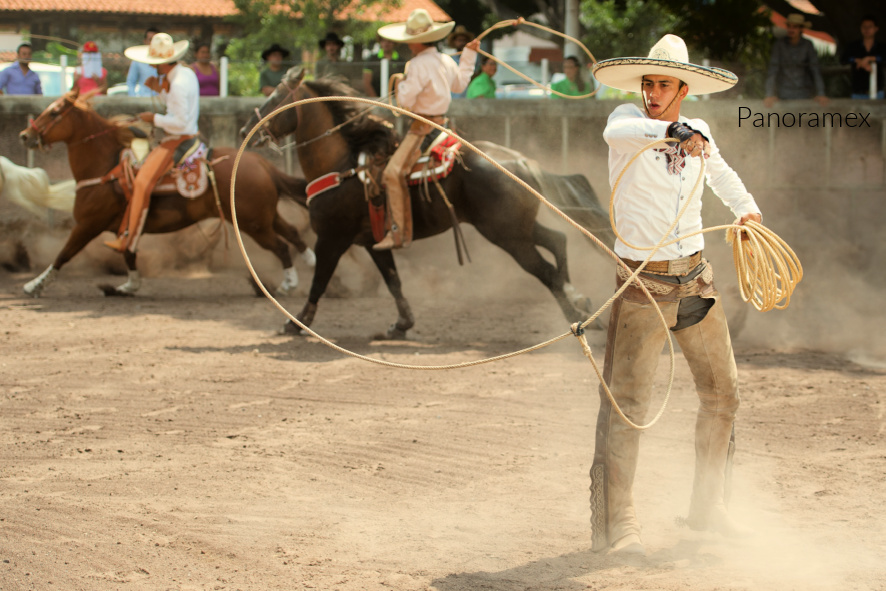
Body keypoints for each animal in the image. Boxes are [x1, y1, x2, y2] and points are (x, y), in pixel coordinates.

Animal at [17, 88, 318, 298]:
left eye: (54, 112)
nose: (24, 135)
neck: (106, 166)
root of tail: (262, 163)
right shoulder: (125, 227)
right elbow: (128, 254)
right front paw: (128, 286)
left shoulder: (88, 224)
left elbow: (63, 254)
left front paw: (34, 285)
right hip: (263, 216)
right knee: (292, 233)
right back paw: (309, 264)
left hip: (253, 223)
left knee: (281, 246)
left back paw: (287, 285)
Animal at [239, 71, 612, 338]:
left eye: (275, 99)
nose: (246, 130)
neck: (342, 165)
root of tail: (520, 161)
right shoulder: (373, 241)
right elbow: (393, 281)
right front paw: (401, 324)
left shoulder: (332, 238)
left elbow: (319, 281)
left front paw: (296, 323)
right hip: (517, 228)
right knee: (557, 241)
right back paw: (580, 300)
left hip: (507, 236)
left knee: (546, 271)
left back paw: (575, 315)